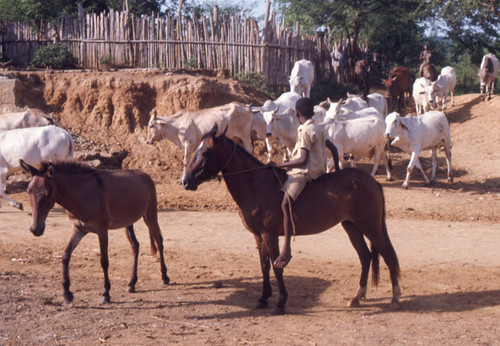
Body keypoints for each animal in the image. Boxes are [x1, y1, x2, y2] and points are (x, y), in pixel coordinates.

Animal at [20, 159, 170, 302]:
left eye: (48, 193)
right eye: (28, 191)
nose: (36, 229)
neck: (83, 194)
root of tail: (145, 175)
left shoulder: (102, 231)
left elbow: (104, 261)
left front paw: (106, 293)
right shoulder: (79, 229)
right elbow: (65, 255)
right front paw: (67, 293)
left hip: (150, 216)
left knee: (159, 241)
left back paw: (164, 277)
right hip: (128, 223)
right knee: (135, 246)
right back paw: (132, 283)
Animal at [184, 126, 402, 314]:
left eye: (206, 153)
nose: (185, 181)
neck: (256, 185)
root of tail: (370, 180)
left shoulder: (269, 234)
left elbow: (275, 267)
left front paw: (281, 302)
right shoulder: (258, 236)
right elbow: (264, 266)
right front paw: (263, 298)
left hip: (370, 227)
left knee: (388, 256)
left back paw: (395, 297)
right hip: (352, 227)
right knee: (365, 257)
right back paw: (357, 297)